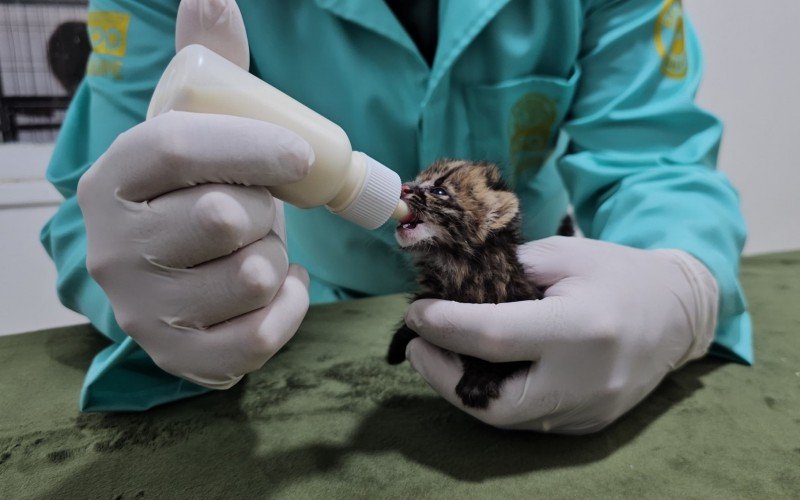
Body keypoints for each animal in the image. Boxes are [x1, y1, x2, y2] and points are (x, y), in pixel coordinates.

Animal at [388, 158, 544, 408]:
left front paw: (479, 380)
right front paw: (396, 345)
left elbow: (502, 356)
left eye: (439, 191)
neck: (457, 266)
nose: (403, 187)